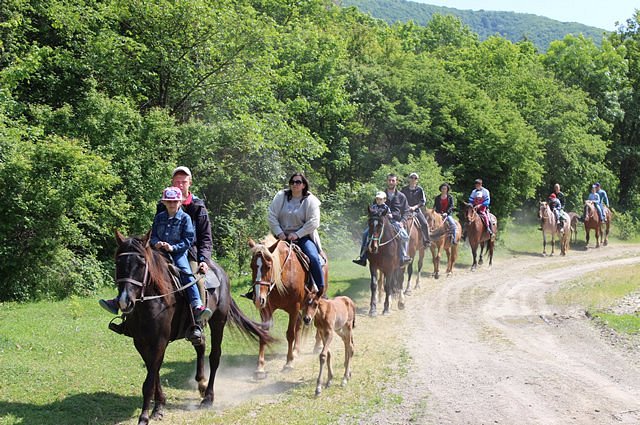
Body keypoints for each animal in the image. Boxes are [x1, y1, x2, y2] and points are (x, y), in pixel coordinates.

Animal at [112, 232, 272, 424]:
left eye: (141, 264)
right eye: (118, 263)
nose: (124, 301)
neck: (154, 301)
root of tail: (221, 272)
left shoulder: (160, 342)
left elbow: (150, 380)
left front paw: (144, 416)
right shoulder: (140, 342)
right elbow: (154, 372)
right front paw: (159, 406)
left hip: (218, 321)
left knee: (215, 356)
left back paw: (208, 397)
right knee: (200, 344)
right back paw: (201, 384)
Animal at [248, 235, 328, 378]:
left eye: (268, 266)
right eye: (252, 266)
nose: (258, 299)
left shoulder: (294, 307)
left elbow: (290, 334)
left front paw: (289, 363)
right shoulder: (265, 309)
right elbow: (263, 334)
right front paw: (260, 368)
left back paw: (317, 345)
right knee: (299, 324)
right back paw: (296, 350)